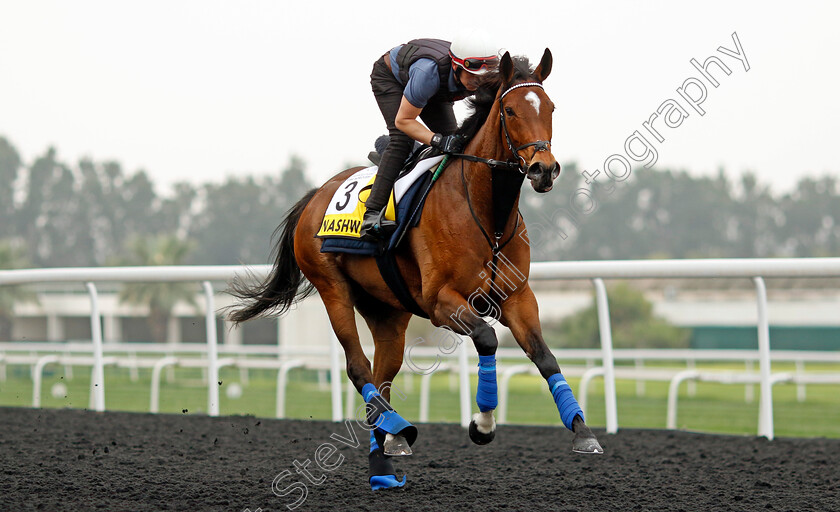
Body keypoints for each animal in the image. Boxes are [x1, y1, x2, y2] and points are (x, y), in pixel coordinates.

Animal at [230, 49, 604, 492]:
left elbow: (545, 357)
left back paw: (383, 462)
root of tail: (316, 195)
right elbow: (487, 338)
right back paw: (399, 431)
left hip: (387, 311)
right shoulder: (441, 301)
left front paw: (583, 431)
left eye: (550, 108)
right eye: (510, 110)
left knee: (382, 375)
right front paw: (482, 424)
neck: (488, 214)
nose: (543, 169)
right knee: (358, 367)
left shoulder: (517, 296)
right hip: (333, 288)